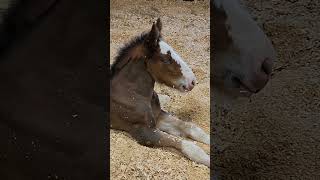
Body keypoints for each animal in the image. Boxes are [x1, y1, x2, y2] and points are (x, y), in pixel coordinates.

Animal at [110, 18, 210, 167]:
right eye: (166, 59)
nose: (192, 81)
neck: (132, 94)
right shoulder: (143, 131)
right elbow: (189, 146)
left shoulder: (159, 116)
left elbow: (191, 128)